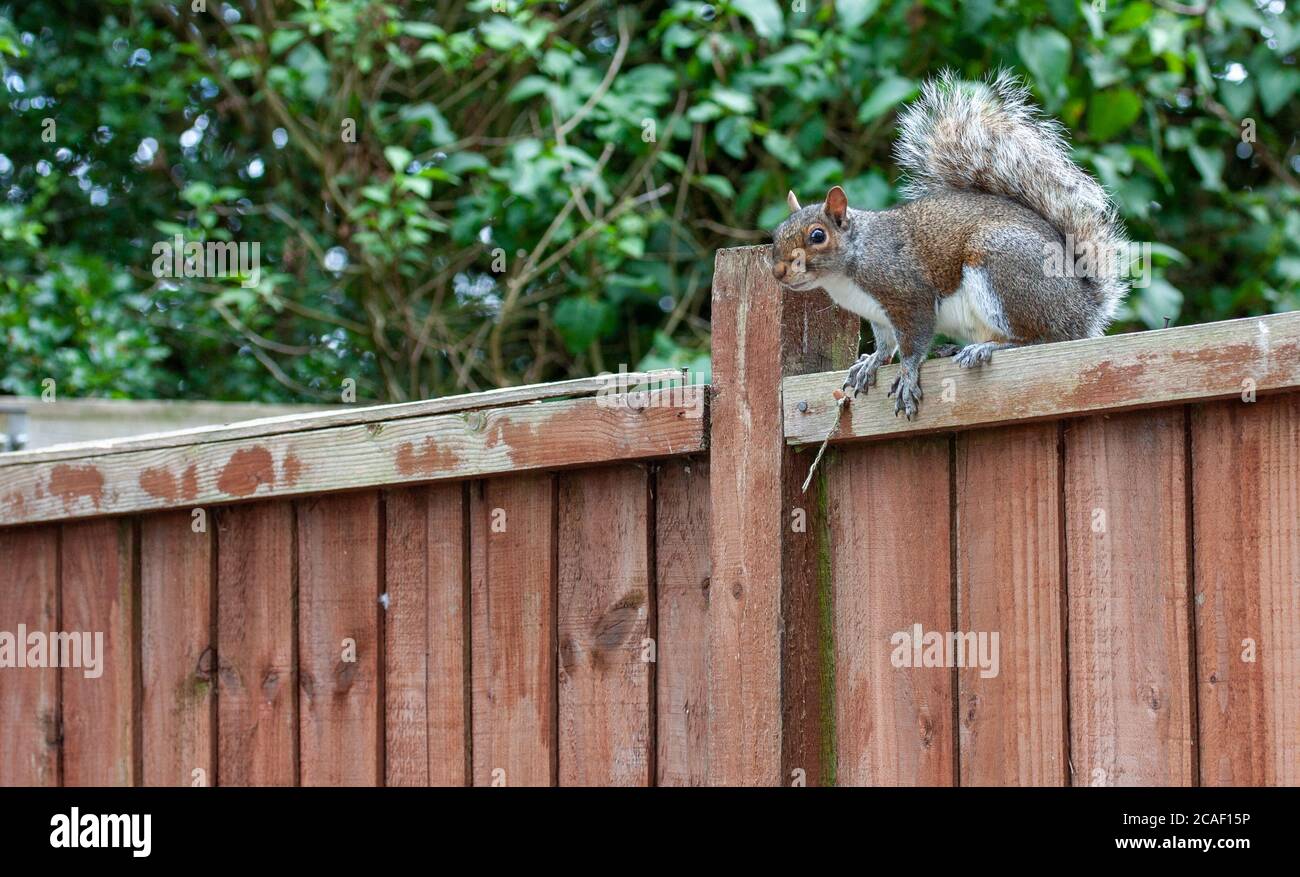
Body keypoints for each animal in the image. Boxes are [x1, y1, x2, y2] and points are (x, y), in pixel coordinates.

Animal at [770, 70, 1129, 419]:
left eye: (818, 236)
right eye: (776, 234)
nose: (778, 272)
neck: (849, 267)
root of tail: (1084, 310)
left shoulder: (909, 295)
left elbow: (913, 342)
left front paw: (907, 376)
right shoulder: (878, 314)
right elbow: (886, 344)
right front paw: (871, 361)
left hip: (1004, 266)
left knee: (1039, 338)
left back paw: (990, 347)